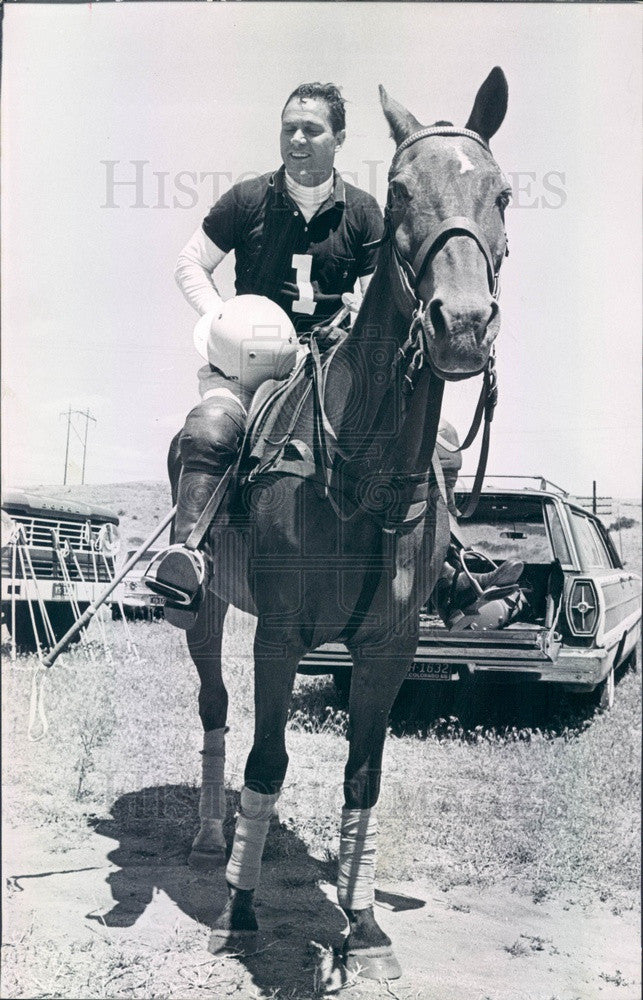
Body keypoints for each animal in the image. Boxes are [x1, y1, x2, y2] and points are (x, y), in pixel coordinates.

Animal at [172, 72, 512, 984]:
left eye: (500, 193)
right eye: (398, 192)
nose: (461, 324)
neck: (366, 471)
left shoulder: (389, 645)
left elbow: (364, 776)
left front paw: (361, 928)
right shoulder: (281, 633)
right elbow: (267, 762)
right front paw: (240, 912)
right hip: (207, 605)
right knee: (214, 708)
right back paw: (211, 838)